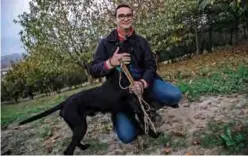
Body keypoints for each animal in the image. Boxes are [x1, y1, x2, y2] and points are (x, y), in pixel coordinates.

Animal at [18, 80, 159, 155]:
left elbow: (139, 125)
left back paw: (84, 147)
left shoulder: (131, 112)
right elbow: (143, 124)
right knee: (68, 150)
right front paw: (154, 135)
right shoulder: (137, 110)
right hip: (81, 126)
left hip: (76, 126)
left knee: (75, 142)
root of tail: (64, 102)